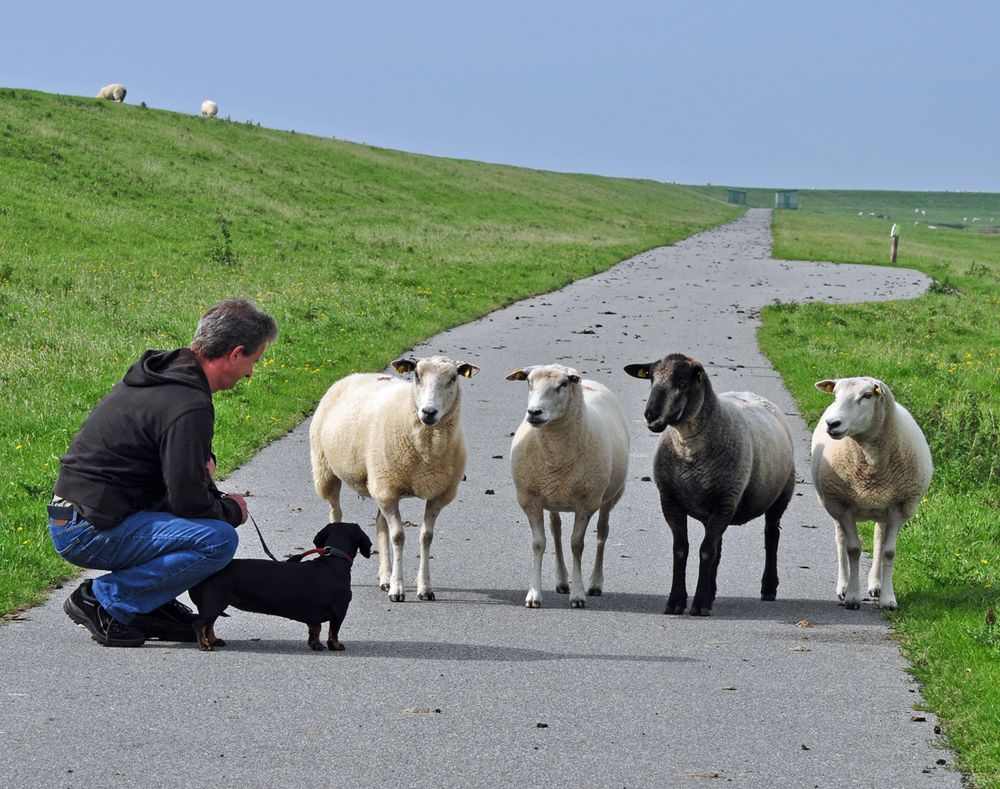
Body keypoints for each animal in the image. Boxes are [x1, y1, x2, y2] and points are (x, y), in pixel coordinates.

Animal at [310, 354, 478, 600]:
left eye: (453, 378)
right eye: (416, 375)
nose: (428, 412)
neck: (426, 449)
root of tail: (355, 375)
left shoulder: (436, 495)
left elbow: (426, 536)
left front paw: (423, 587)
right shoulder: (388, 491)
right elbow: (398, 536)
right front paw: (398, 589)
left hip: (379, 483)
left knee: (381, 524)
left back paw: (385, 577)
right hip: (328, 471)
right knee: (336, 514)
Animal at [504, 364, 628, 608]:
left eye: (563, 384)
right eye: (529, 382)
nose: (534, 412)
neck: (556, 457)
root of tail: (589, 382)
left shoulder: (586, 502)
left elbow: (577, 545)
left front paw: (578, 595)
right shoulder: (530, 498)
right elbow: (539, 544)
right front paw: (534, 594)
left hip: (610, 496)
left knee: (602, 533)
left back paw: (595, 583)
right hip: (553, 496)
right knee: (556, 531)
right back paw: (561, 581)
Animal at [624, 350, 796, 616]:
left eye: (683, 383)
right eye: (651, 379)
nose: (651, 415)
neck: (688, 449)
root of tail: (751, 394)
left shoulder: (726, 500)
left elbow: (705, 551)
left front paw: (700, 604)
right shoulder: (670, 500)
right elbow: (682, 549)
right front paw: (676, 602)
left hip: (779, 495)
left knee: (771, 536)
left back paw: (768, 588)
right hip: (714, 507)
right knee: (719, 545)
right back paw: (712, 591)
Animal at [808, 376, 932, 608]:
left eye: (866, 395)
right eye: (835, 394)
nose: (832, 424)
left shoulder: (899, 508)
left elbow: (888, 552)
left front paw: (888, 599)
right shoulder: (843, 507)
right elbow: (853, 550)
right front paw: (852, 597)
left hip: (883, 510)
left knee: (878, 540)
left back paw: (876, 584)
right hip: (833, 505)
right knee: (841, 541)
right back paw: (843, 586)